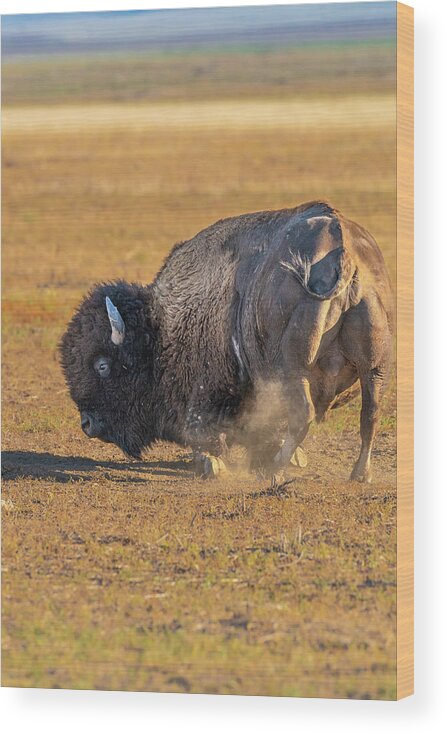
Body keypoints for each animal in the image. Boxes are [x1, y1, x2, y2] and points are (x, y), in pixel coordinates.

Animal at [61, 203, 394, 484]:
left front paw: (211, 464)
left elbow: (203, 430)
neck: (161, 329)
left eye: (102, 365)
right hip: (374, 370)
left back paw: (273, 470)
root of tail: (344, 255)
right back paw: (359, 474)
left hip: (294, 369)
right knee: (371, 414)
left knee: (305, 415)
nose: (87, 424)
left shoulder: (203, 395)